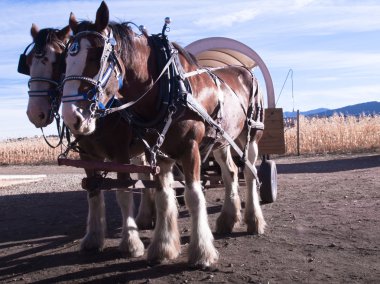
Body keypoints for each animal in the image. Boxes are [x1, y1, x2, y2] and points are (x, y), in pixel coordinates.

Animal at [21, 23, 156, 256]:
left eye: (58, 62)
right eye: (28, 63)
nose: (35, 113)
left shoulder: (121, 153)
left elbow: (124, 191)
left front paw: (131, 242)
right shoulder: (87, 154)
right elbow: (93, 190)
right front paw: (93, 237)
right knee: (145, 173)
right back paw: (146, 216)